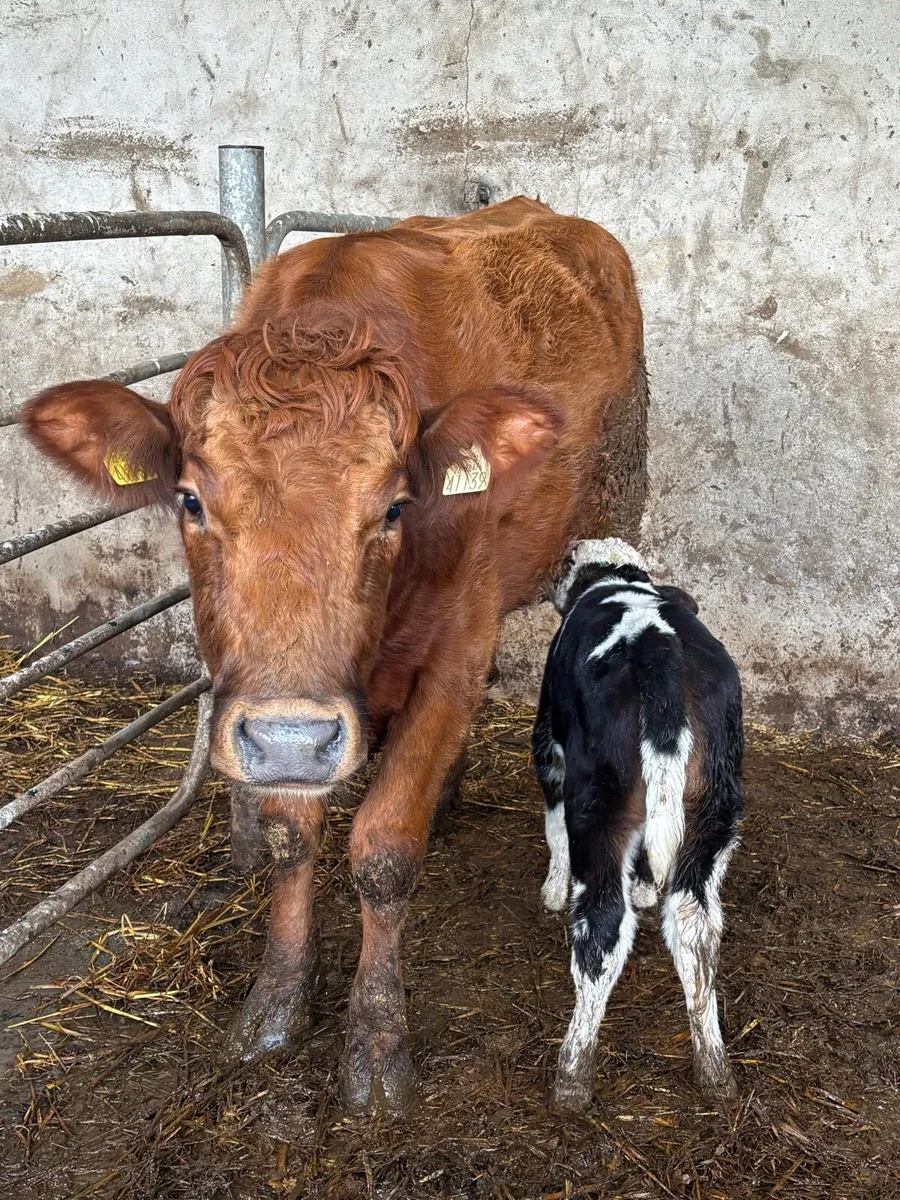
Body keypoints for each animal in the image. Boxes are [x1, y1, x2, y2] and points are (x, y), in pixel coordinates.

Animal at [22, 197, 649, 1111]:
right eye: (190, 500)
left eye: (394, 507)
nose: (294, 739)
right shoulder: (265, 709)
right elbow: (290, 839)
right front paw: (279, 1001)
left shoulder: (455, 651)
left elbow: (384, 850)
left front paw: (377, 1039)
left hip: (617, 509)